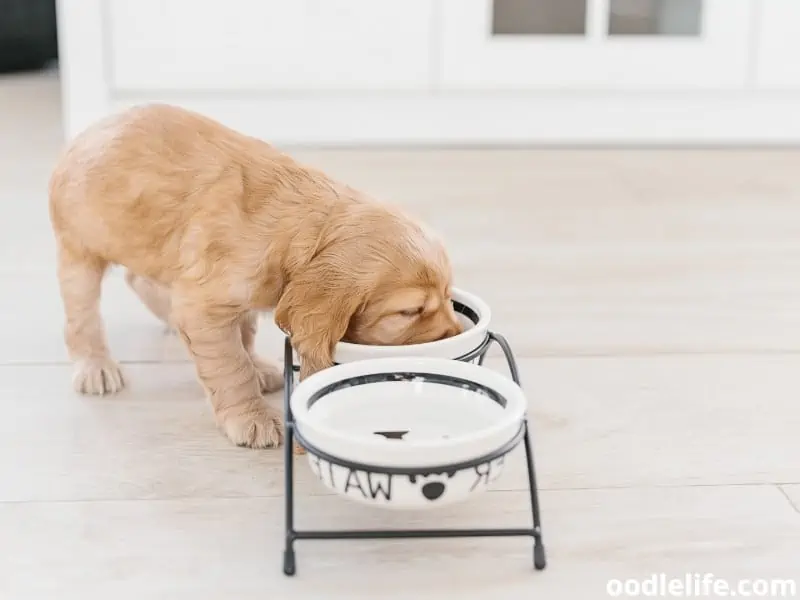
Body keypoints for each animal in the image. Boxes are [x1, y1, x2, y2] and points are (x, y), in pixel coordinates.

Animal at [48, 104, 462, 450]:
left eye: (447, 295)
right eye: (409, 312)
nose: (456, 334)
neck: (305, 227)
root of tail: (86, 132)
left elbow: (244, 336)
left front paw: (259, 367)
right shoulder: (207, 308)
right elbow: (231, 366)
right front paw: (251, 418)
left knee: (142, 280)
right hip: (79, 250)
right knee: (81, 316)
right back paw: (96, 368)